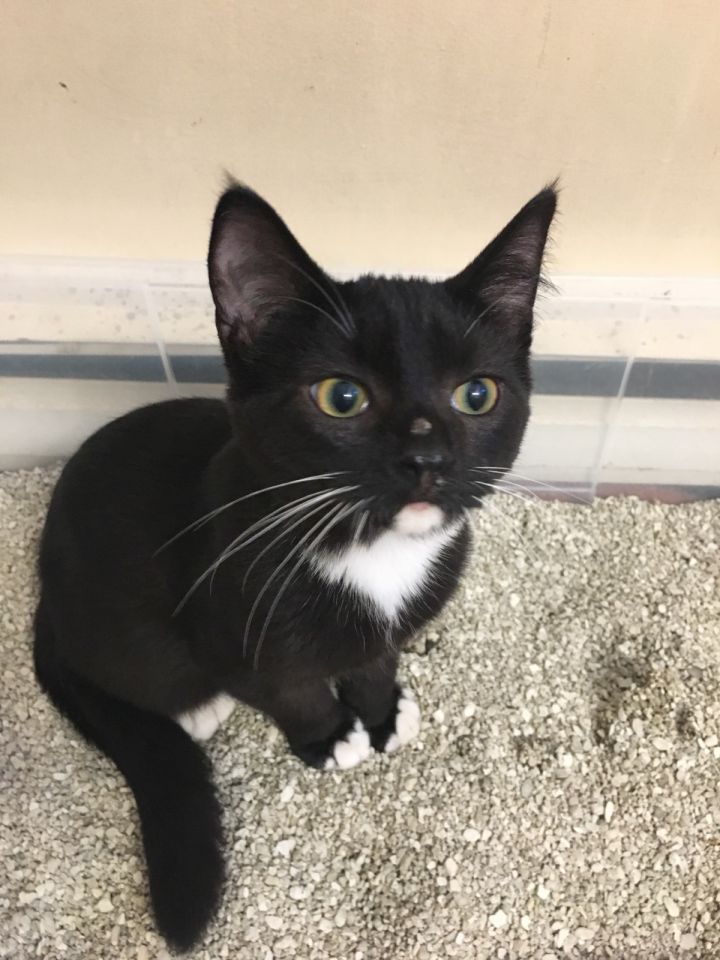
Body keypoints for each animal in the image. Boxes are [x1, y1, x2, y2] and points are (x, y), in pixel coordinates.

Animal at [33, 182, 556, 952]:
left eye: (477, 394)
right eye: (342, 396)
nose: (427, 459)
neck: (374, 554)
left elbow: (375, 656)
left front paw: (381, 711)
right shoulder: (231, 625)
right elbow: (289, 688)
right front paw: (330, 738)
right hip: (116, 628)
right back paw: (192, 707)